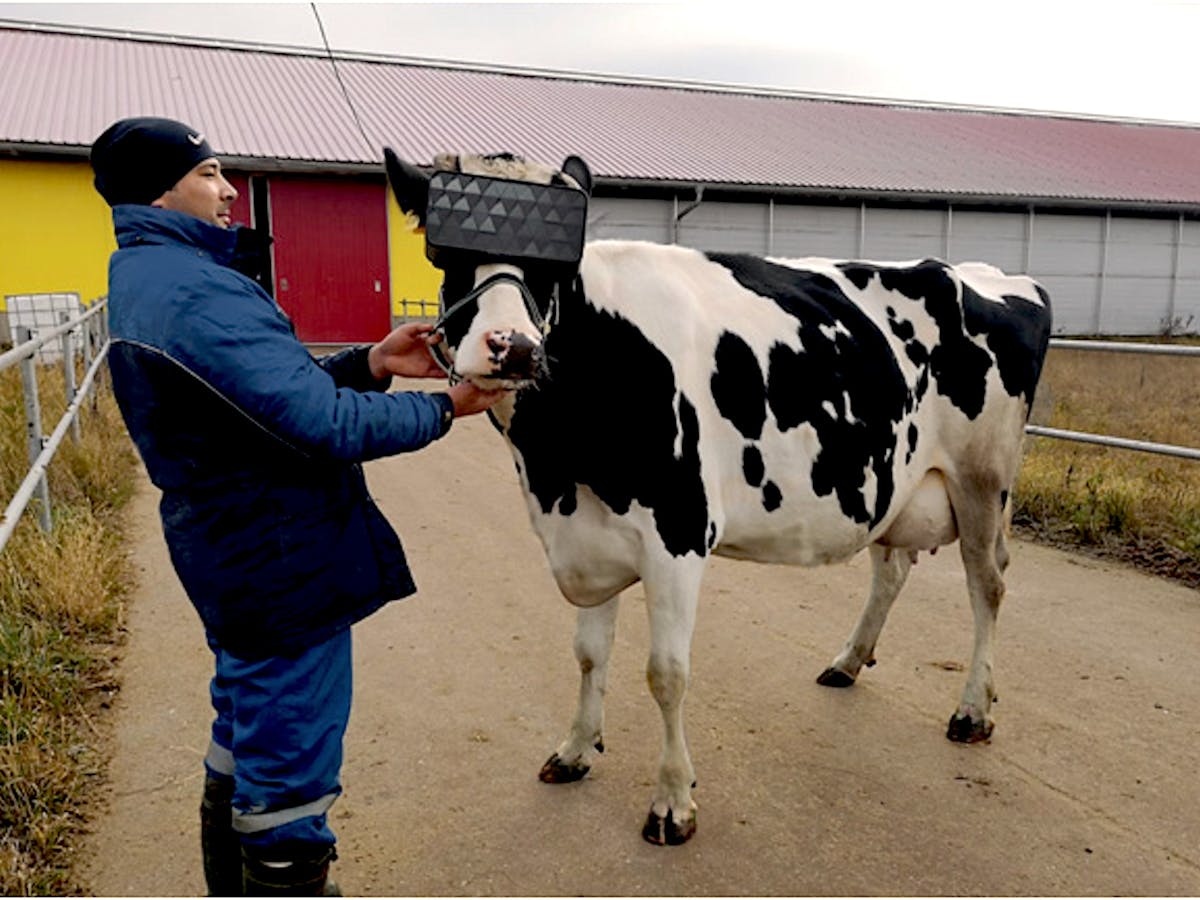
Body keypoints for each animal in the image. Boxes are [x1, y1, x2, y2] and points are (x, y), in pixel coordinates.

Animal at [384, 148, 1053, 846]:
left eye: (555, 267)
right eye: (445, 255)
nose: (512, 347)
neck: (556, 467)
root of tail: (994, 276)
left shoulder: (677, 532)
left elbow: (666, 674)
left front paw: (673, 801)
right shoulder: (587, 535)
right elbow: (590, 655)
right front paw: (575, 750)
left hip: (983, 480)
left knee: (988, 584)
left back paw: (972, 710)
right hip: (891, 478)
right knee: (892, 567)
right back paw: (848, 661)